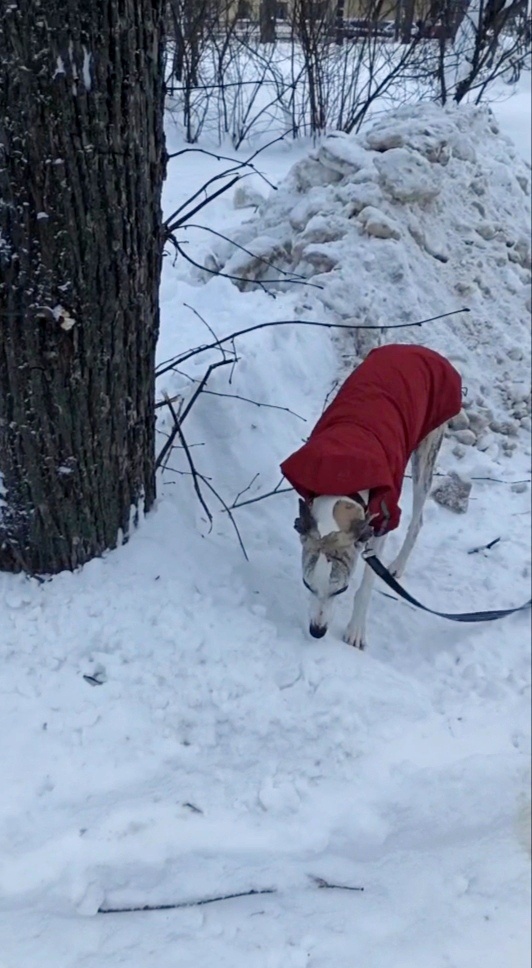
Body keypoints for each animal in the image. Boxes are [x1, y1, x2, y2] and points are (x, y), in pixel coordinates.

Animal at [280, 344, 462, 649]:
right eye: (307, 585)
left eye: (340, 590)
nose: (317, 631)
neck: (343, 477)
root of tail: (420, 348)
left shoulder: (381, 523)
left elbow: (366, 585)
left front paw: (355, 630)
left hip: (426, 452)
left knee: (418, 519)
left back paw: (397, 565)